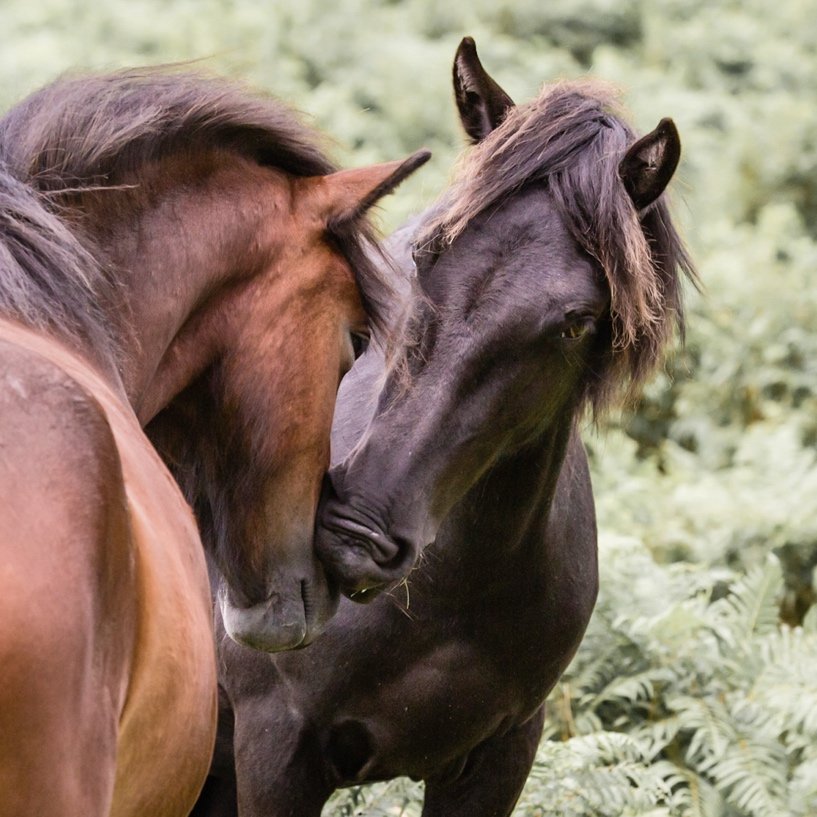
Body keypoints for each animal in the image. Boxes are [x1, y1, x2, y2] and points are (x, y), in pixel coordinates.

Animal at [193, 38, 696, 817]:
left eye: (575, 321)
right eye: (427, 252)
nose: (356, 536)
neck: (451, 598)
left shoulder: (500, 752)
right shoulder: (275, 749)